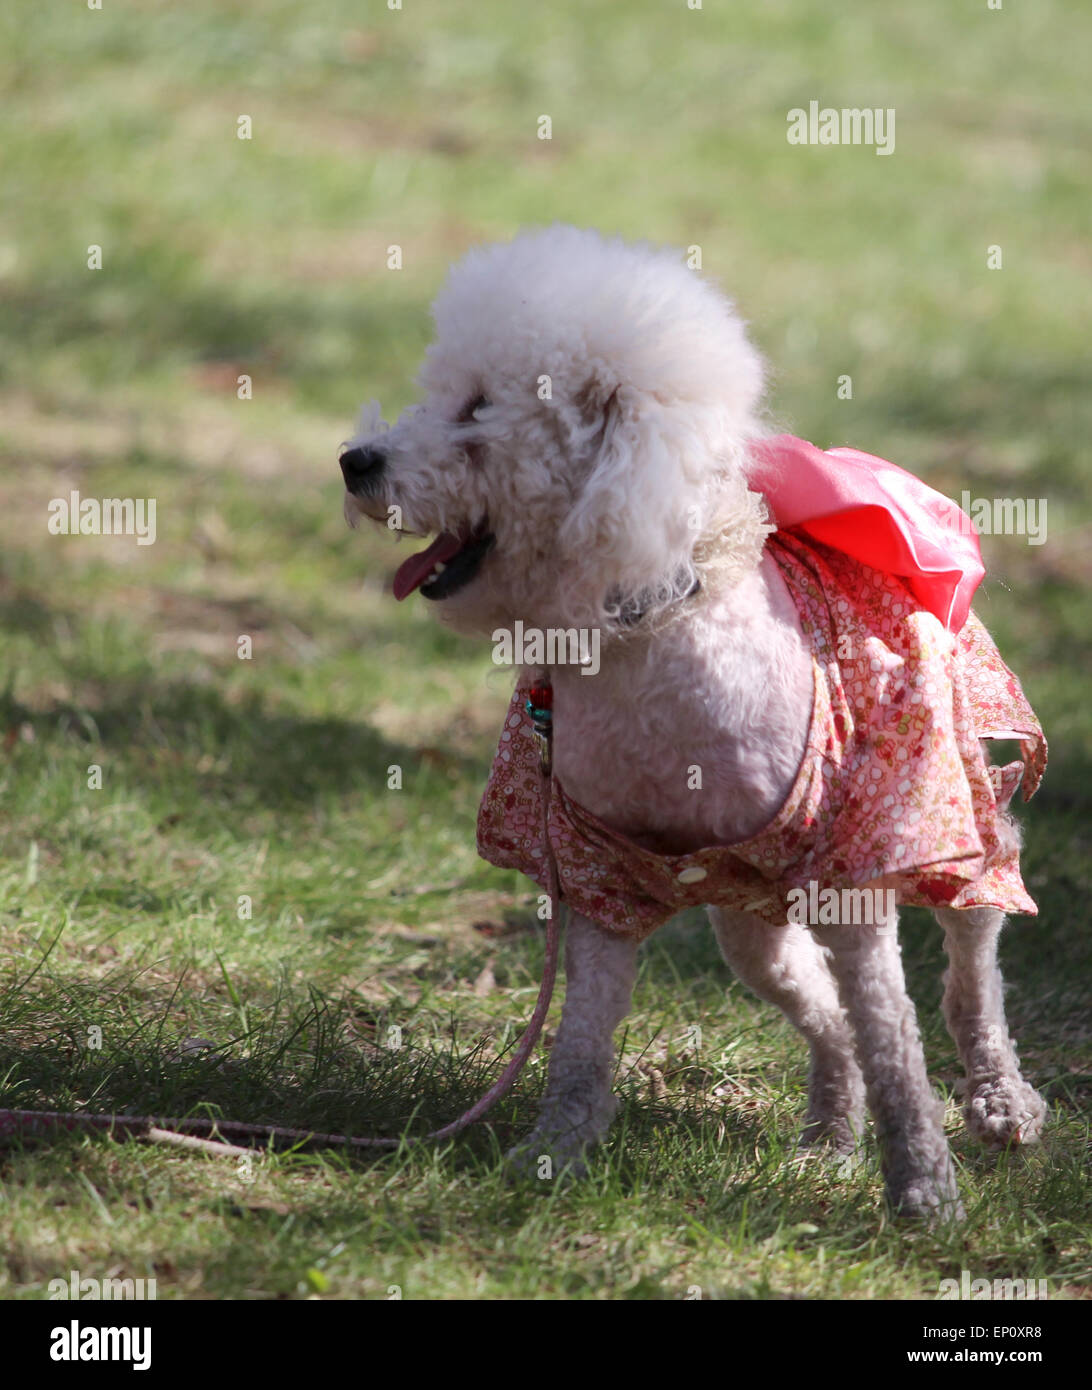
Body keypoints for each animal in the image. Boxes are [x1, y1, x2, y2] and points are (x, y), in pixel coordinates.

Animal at [336, 225, 1044, 1217]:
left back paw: (998, 1098)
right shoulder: (596, 873)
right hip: (752, 925)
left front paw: (924, 1189)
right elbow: (581, 1042)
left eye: (477, 410)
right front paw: (550, 1157)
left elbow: (896, 1035)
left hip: (953, 808)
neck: (648, 624)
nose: (355, 461)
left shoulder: (853, 872)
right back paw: (831, 1134)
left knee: (973, 951)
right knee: (825, 1012)